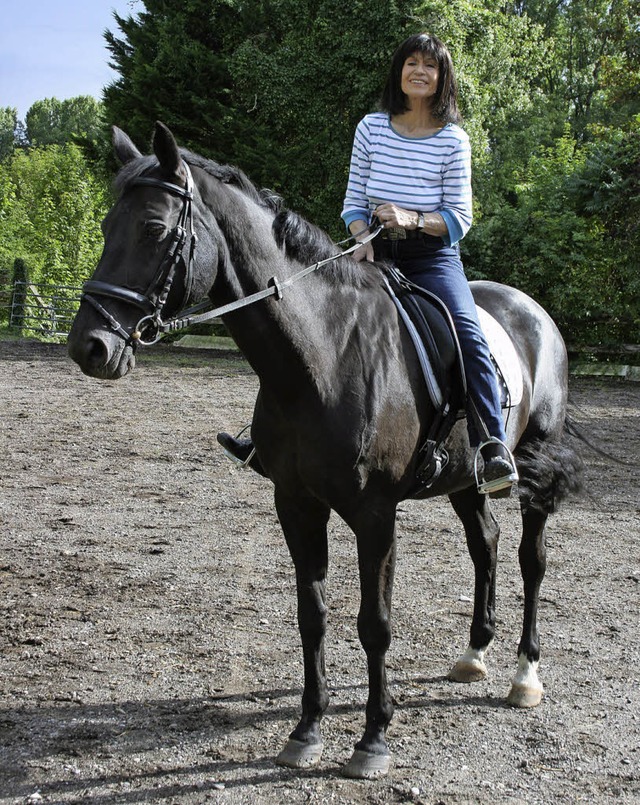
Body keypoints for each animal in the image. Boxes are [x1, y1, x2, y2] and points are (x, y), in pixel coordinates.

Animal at [67, 122, 584, 776]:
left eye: (155, 229)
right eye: (108, 225)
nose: (89, 346)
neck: (324, 355)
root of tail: (533, 312)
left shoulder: (375, 514)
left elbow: (375, 623)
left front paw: (373, 739)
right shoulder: (297, 503)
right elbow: (311, 617)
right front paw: (307, 730)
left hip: (533, 469)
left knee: (530, 559)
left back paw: (524, 675)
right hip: (466, 477)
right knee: (485, 543)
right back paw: (473, 655)